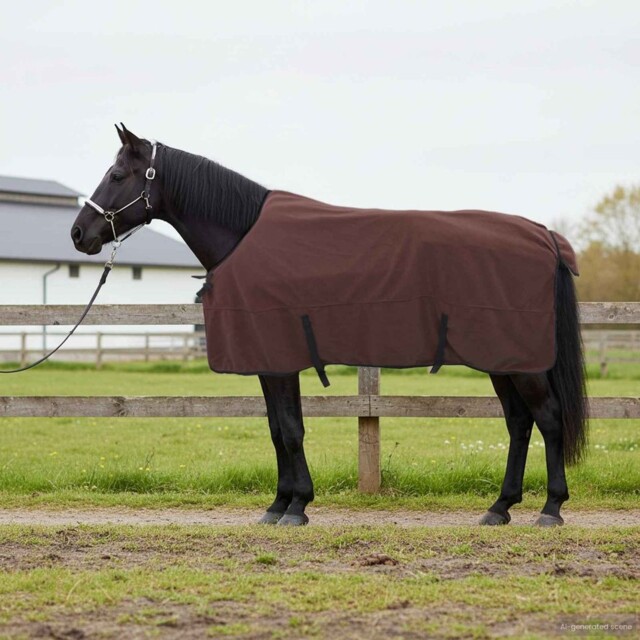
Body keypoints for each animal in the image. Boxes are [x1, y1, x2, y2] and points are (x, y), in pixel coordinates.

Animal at [71, 124, 588, 527]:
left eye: (117, 175)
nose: (79, 234)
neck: (244, 235)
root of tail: (543, 235)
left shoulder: (279, 360)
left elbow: (291, 429)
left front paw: (296, 506)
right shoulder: (269, 362)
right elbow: (278, 428)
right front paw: (279, 504)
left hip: (521, 362)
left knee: (548, 418)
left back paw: (551, 509)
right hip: (503, 360)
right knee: (519, 422)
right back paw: (500, 508)